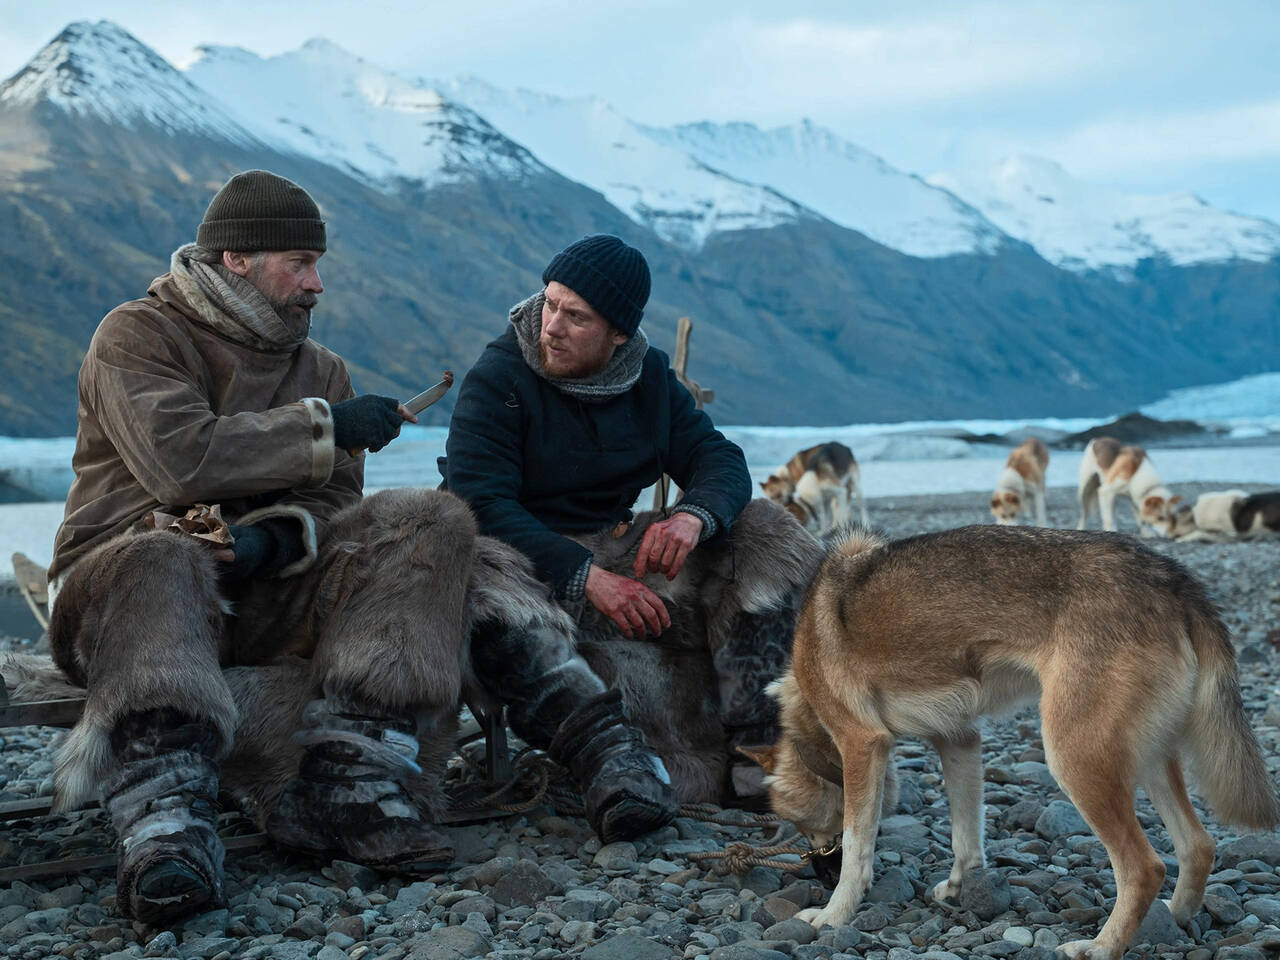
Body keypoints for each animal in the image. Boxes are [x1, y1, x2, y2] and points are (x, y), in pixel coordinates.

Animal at [747, 527, 1274, 960]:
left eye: (805, 826)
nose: (819, 875)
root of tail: (1172, 577)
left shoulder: (862, 745)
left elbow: (859, 847)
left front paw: (834, 915)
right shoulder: (959, 738)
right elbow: (966, 833)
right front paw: (961, 888)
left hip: (1075, 758)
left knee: (1144, 867)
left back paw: (1101, 947)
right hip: (1146, 757)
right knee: (1198, 845)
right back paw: (1175, 919)